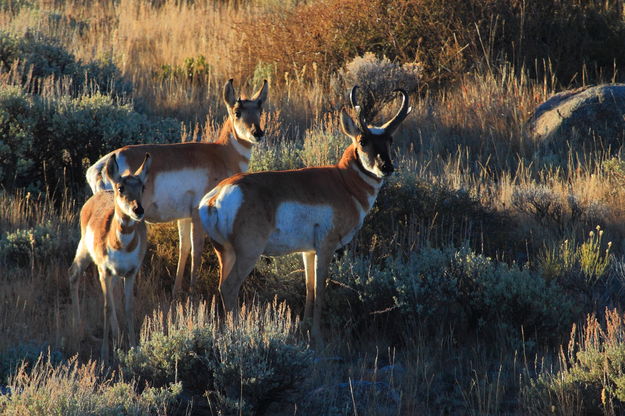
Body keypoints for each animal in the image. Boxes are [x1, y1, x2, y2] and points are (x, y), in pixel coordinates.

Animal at [69, 151, 151, 360]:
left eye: (142, 187)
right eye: (121, 188)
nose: (138, 210)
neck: (122, 245)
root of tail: (100, 193)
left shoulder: (130, 272)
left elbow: (128, 307)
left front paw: (134, 348)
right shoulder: (104, 270)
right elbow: (107, 307)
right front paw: (105, 353)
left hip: (113, 273)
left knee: (113, 294)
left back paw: (117, 335)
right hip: (86, 252)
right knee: (73, 273)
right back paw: (78, 329)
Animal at [84, 79, 266, 294]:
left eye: (259, 109)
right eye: (237, 111)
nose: (258, 133)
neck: (222, 153)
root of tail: (101, 167)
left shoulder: (184, 217)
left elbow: (184, 248)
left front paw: (177, 291)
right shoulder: (197, 215)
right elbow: (197, 250)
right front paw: (193, 291)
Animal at [200, 87, 412, 342]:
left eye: (389, 139)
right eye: (363, 140)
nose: (386, 168)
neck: (344, 182)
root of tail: (216, 196)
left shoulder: (308, 252)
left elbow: (309, 287)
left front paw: (305, 326)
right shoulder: (326, 247)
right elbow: (320, 288)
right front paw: (318, 335)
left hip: (225, 253)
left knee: (221, 285)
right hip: (248, 253)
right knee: (229, 287)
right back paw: (238, 331)